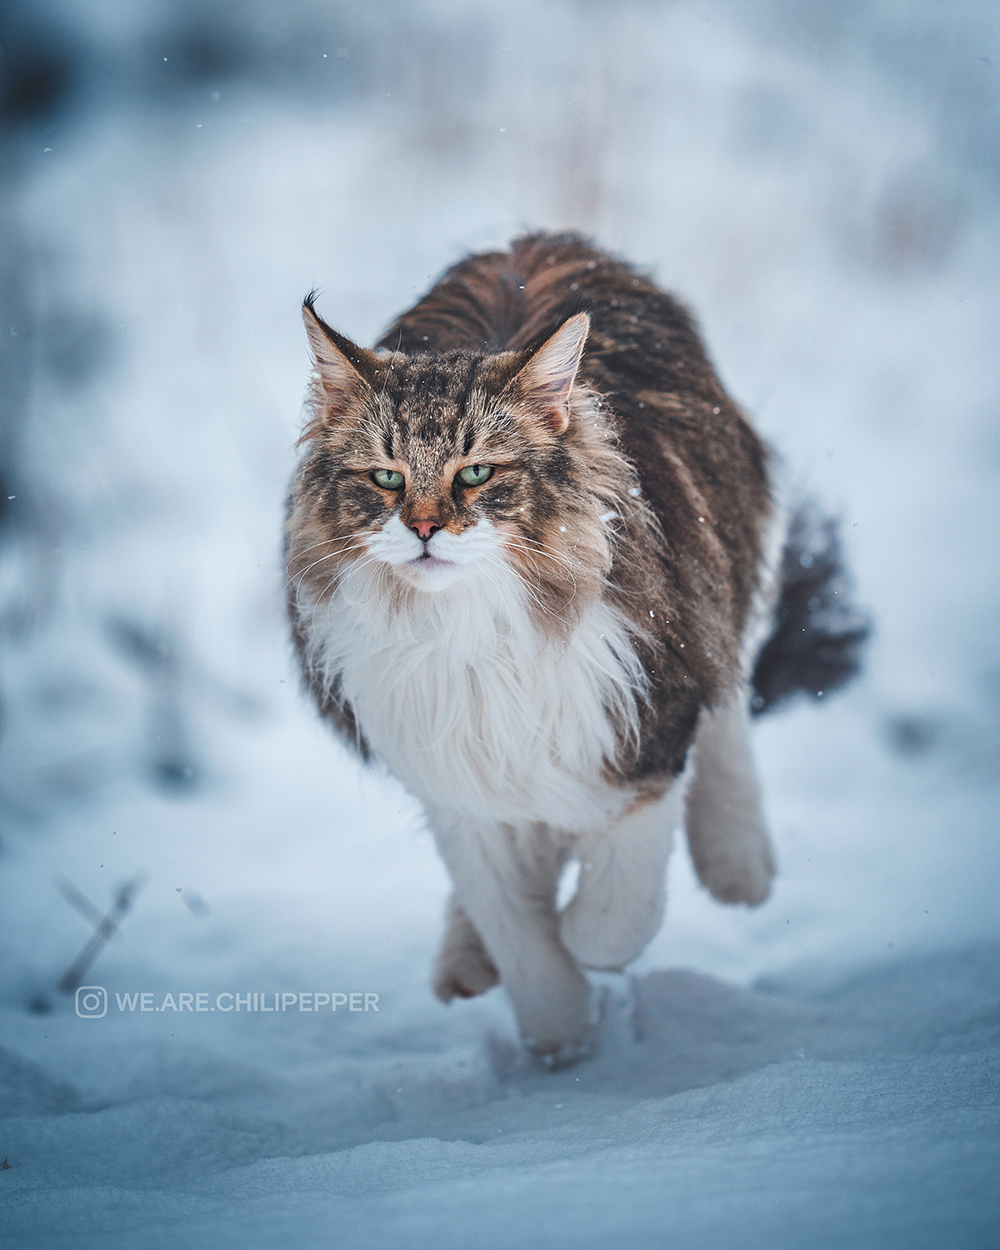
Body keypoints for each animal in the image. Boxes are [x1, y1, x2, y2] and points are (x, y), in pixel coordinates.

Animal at [283, 230, 865, 1060]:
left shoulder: (643, 725)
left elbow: (612, 916)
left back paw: (738, 866)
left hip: (716, 570)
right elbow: (520, 937)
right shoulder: (452, 776)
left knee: (727, 702)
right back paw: (464, 961)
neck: (470, 633)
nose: (423, 527)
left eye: (477, 472)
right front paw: (559, 1038)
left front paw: (582, 941)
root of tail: (531, 239)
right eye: (387, 479)